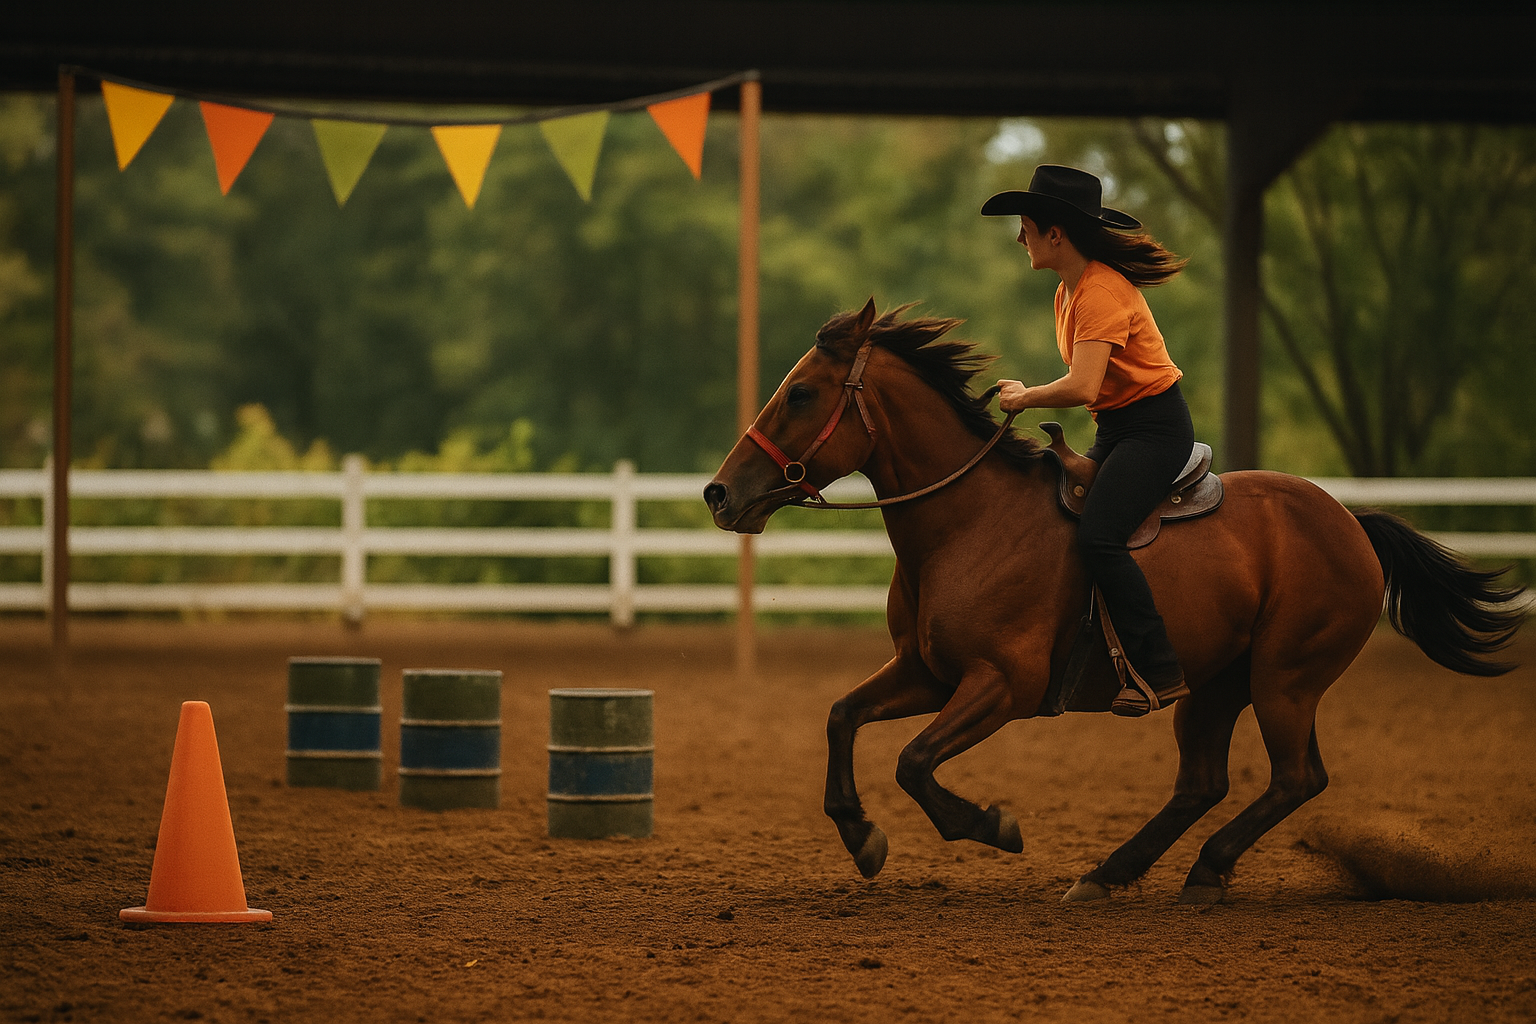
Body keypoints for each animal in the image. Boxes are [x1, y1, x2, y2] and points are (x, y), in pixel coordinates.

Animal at [703, 300, 1525, 904]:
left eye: (801, 392)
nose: (719, 493)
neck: (971, 523)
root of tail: (1351, 522)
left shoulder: (1002, 685)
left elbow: (913, 761)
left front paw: (991, 825)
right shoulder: (926, 673)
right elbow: (843, 717)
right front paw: (860, 835)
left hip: (1284, 680)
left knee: (1296, 778)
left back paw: (1198, 868)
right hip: (1214, 683)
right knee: (1204, 781)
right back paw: (1114, 872)